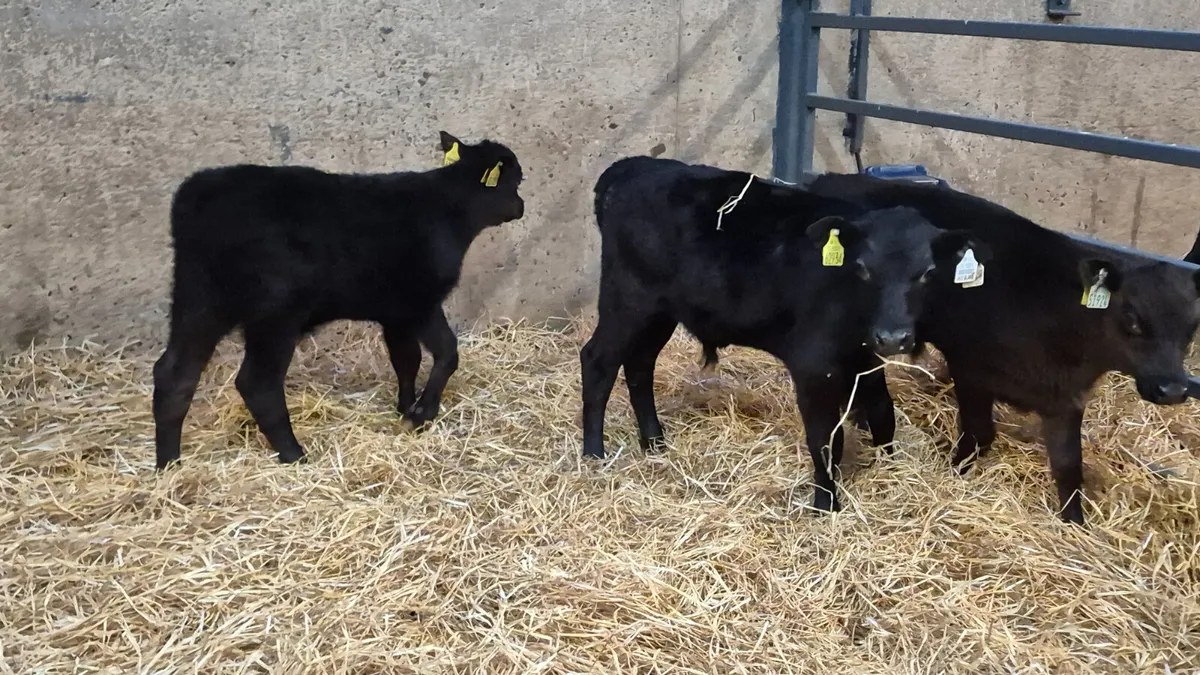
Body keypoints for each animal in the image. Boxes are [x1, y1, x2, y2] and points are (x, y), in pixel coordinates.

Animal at [152, 132, 525, 470]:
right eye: (516, 180)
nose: (521, 206)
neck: (449, 212)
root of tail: (199, 196)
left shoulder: (395, 312)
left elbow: (406, 359)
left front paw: (406, 407)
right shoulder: (420, 303)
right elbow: (447, 352)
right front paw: (423, 412)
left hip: (198, 299)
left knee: (175, 374)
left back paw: (169, 465)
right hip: (275, 313)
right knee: (257, 383)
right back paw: (294, 455)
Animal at [581, 156, 988, 513]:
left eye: (927, 272)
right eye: (862, 268)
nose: (893, 336)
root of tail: (635, 166)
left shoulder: (865, 358)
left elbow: (883, 413)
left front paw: (890, 469)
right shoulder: (814, 365)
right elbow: (825, 438)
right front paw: (826, 506)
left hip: (659, 311)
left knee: (639, 364)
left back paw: (654, 443)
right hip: (627, 299)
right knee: (598, 362)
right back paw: (594, 454)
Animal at [804, 173, 1200, 525]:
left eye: (1193, 324)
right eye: (1132, 318)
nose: (1173, 389)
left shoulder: (1065, 398)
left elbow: (1069, 465)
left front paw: (1075, 525)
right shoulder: (970, 369)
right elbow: (978, 435)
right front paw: (955, 475)